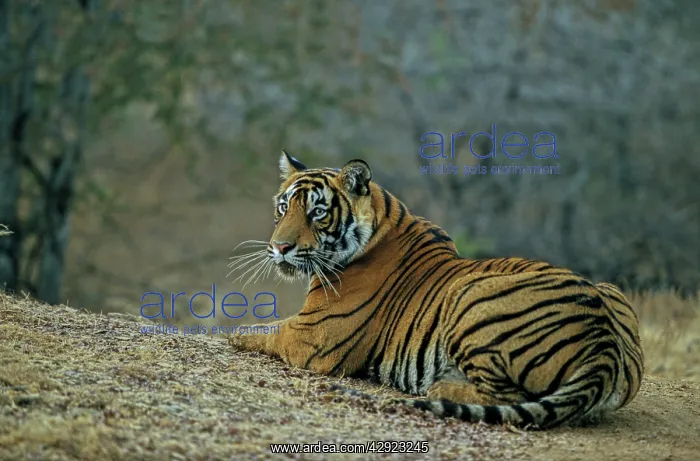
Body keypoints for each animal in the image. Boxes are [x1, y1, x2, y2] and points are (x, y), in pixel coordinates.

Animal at [227, 151, 644, 429]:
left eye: (317, 211)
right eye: (284, 207)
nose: (279, 247)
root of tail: (604, 347)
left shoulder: (314, 336)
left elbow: (262, 330)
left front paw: (234, 334)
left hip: (470, 295)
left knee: (504, 396)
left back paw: (441, 387)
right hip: (610, 290)